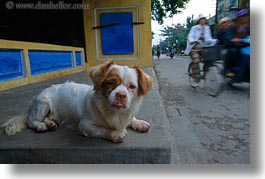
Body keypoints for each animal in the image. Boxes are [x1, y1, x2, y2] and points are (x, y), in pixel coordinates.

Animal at [1, 61, 153, 143]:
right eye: (110, 83)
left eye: (131, 87)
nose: (121, 95)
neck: (114, 112)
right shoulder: (84, 125)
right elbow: (103, 129)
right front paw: (115, 134)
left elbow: (131, 118)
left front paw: (138, 122)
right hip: (43, 104)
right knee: (30, 121)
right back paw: (40, 125)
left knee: (47, 118)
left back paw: (50, 123)